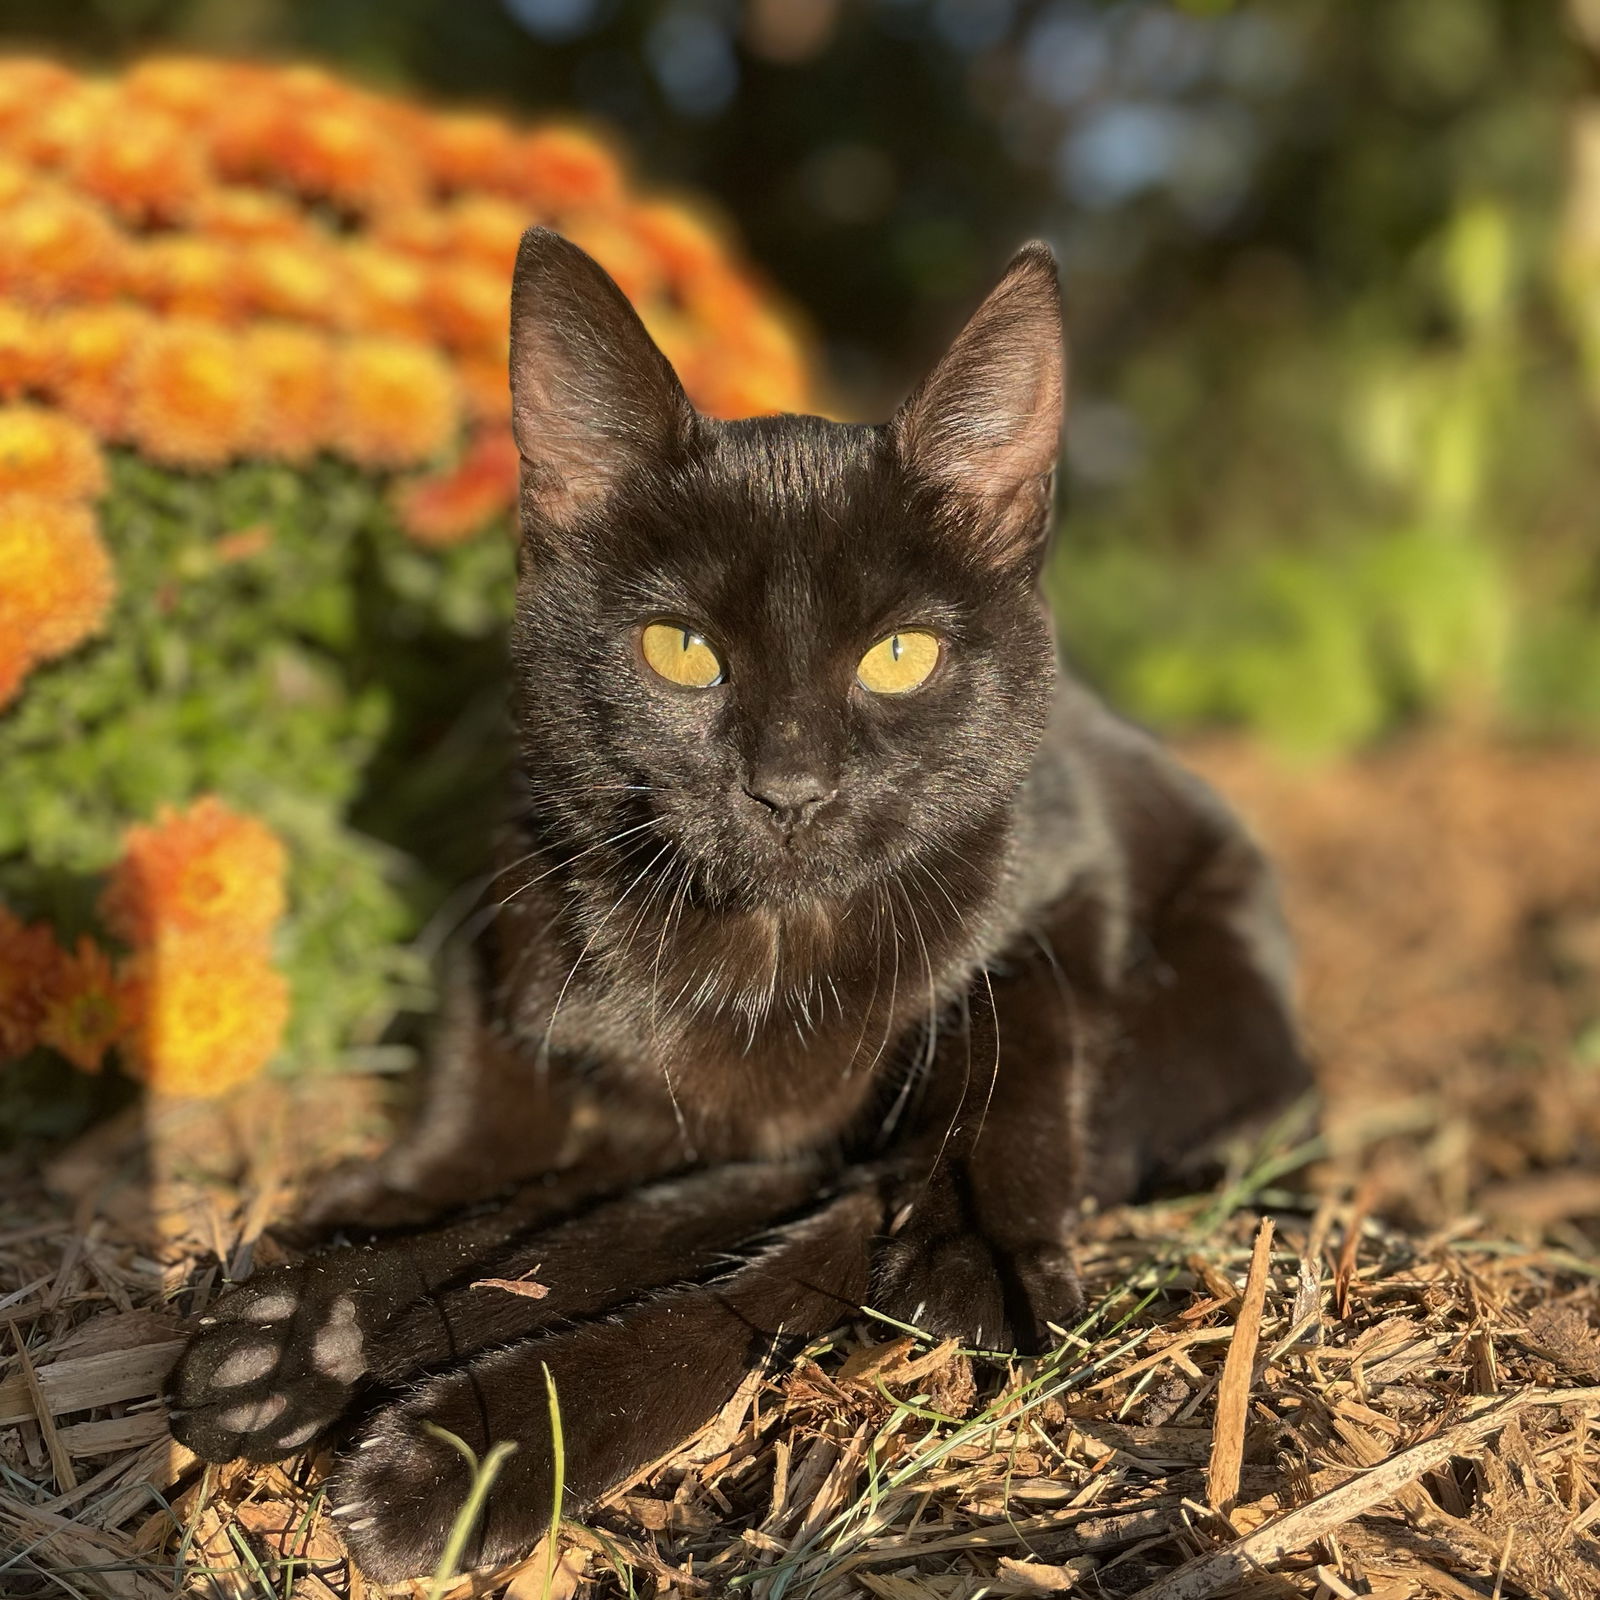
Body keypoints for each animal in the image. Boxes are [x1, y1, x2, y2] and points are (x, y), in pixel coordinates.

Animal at [168, 232, 1305, 1580]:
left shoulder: (1047, 897)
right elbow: (499, 1129)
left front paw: (405, 1396)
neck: (753, 957)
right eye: (680, 651)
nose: (790, 788)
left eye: (900, 657)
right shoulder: (509, 908)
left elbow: (687, 1218)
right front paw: (355, 1267)